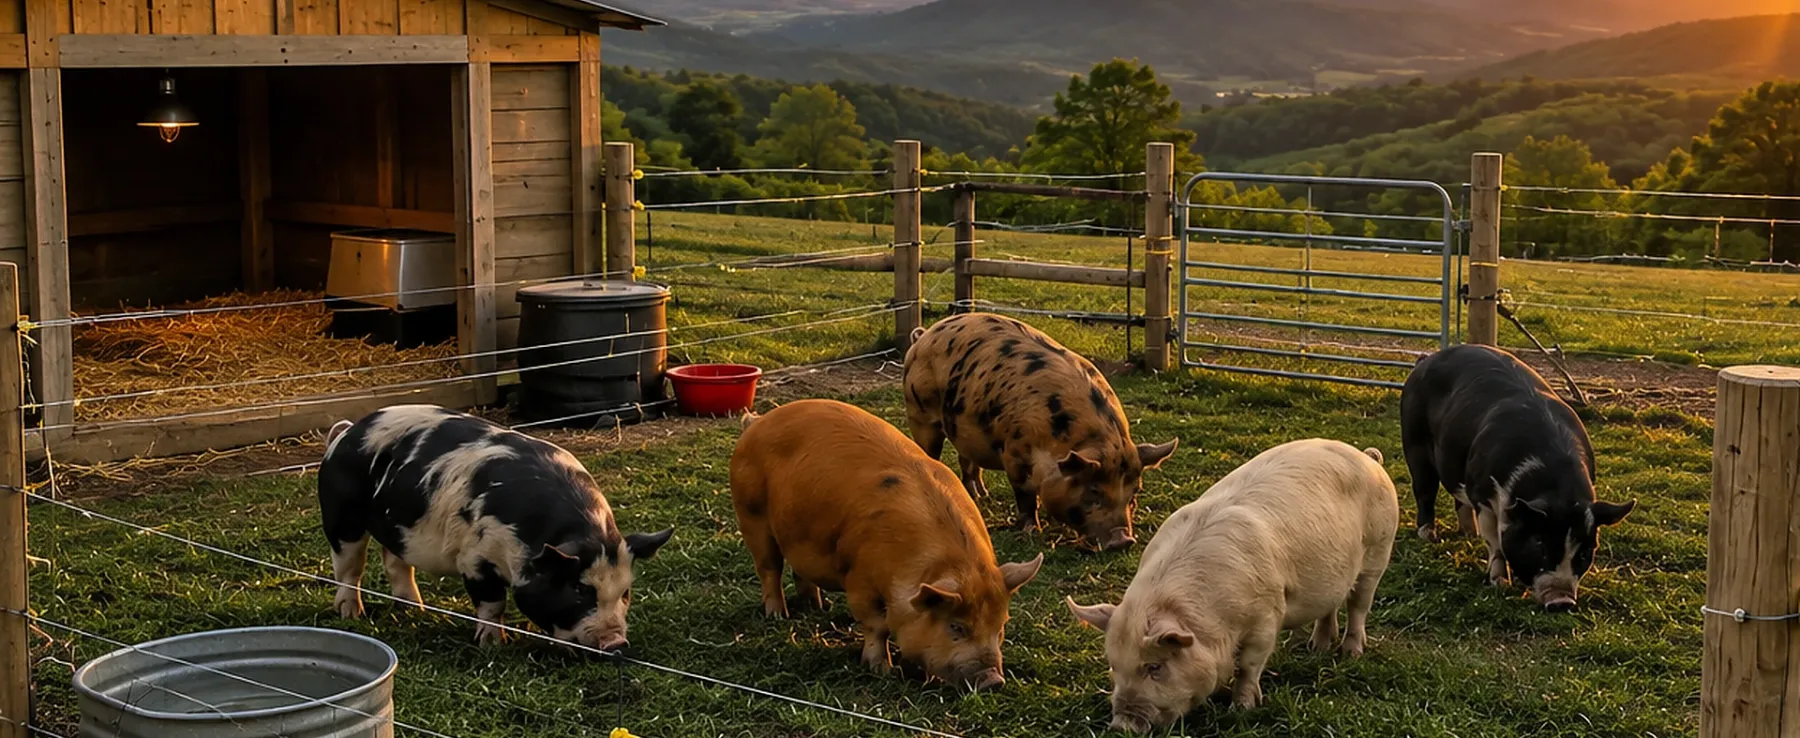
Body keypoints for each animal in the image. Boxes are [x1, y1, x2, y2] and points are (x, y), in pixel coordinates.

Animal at [318, 404, 673, 650]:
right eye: (578, 589)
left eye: (625, 592)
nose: (616, 643)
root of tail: (347, 432)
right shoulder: (474, 557)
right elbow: (493, 602)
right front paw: (493, 644)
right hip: (341, 519)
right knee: (349, 569)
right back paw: (352, 614)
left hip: (397, 529)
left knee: (397, 563)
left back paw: (414, 611)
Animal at [729, 399, 1044, 690]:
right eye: (956, 627)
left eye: (1001, 626)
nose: (993, 680)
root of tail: (757, 422)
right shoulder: (859, 578)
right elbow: (876, 626)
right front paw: (881, 670)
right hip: (752, 516)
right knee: (769, 568)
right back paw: (778, 616)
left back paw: (819, 608)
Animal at [902, 313, 1179, 551]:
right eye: (1093, 492)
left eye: (1135, 492)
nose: (1122, 540)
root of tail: (924, 335)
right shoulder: (1014, 452)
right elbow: (1025, 495)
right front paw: (1031, 530)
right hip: (919, 414)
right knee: (928, 452)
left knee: (967, 461)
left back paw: (981, 496)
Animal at [1067, 439, 1398, 731]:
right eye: (1114, 665)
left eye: (1155, 667)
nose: (1121, 725)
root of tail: (1369, 458)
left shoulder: (1267, 615)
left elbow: (1249, 666)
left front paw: (1242, 708)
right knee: (1331, 606)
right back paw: (1316, 648)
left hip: (1379, 552)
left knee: (1358, 605)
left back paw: (1351, 653)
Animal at [1400, 344, 1635, 612]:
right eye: (1540, 544)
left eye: (1585, 553)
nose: (1562, 601)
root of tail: (1425, 360)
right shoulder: (1482, 493)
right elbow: (1495, 542)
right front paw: (1500, 583)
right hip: (1414, 443)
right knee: (1425, 491)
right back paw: (1429, 535)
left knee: (1457, 498)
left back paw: (1469, 534)